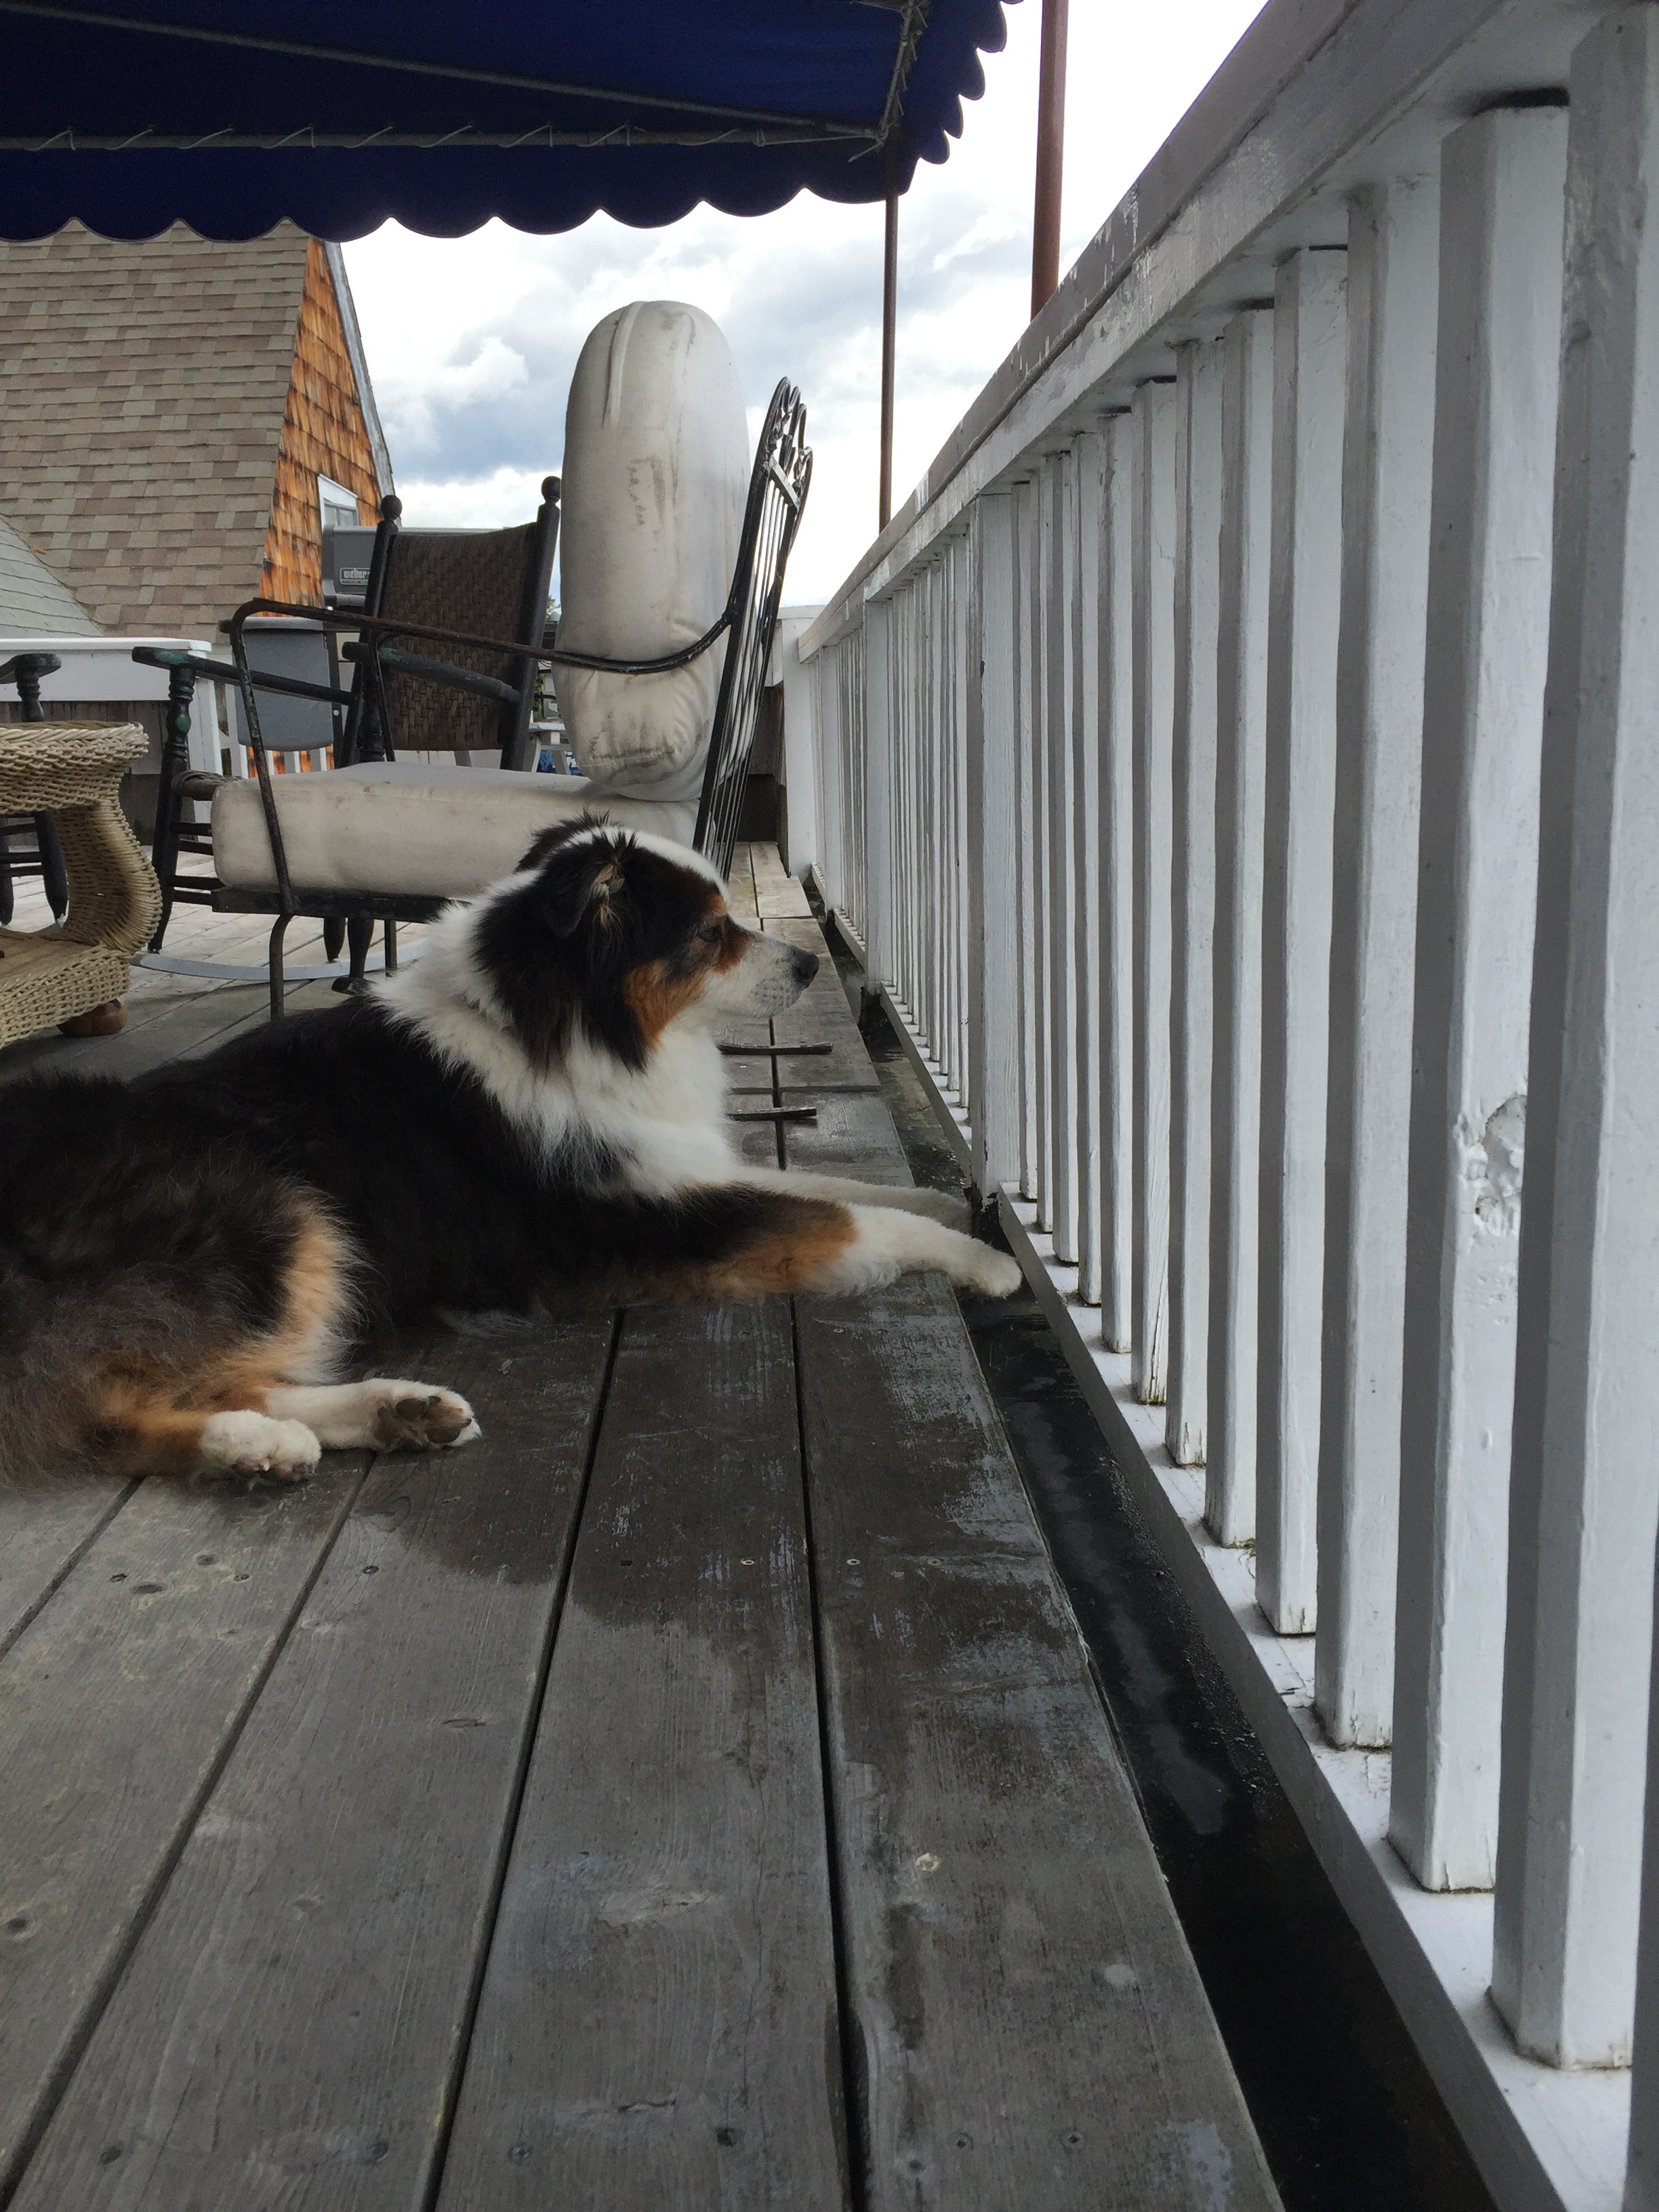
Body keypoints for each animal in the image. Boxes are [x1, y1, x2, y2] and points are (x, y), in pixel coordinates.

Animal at [0, 818, 1020, 1481]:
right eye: (710, 933)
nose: (809, 962)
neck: (564, 1027)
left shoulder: (684, 1172)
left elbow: (831, 1183)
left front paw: (954, 1205)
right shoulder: (653, 1221)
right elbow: (843, 1216)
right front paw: (985, 1263)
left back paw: (389, 1414)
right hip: (276, 1215)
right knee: (103, 1403)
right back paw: (251, 1445)